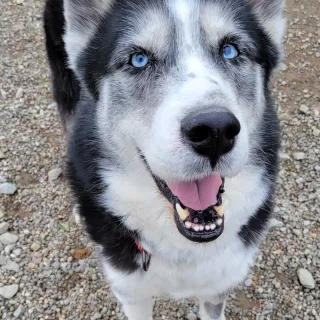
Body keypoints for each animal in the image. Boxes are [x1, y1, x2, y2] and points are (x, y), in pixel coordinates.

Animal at [43, 1, 284, 318]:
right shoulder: (131, 292)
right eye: (138, 59)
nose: (215, 131)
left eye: (231, 51)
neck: (184, 247)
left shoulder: (219, 283)